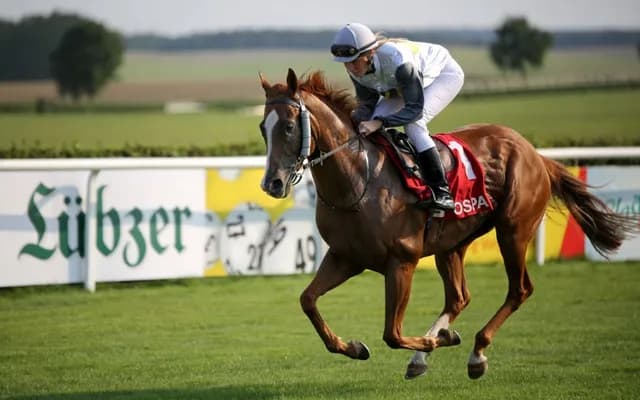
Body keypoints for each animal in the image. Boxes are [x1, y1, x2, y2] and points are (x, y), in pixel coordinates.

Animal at [257, 68, 638, 380]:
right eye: (263, 128)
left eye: (288, 126)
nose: (272, 184)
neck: (358, 180)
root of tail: (534, 154)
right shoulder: (345, 257)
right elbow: (308, 300)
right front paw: (353, 347)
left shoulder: (402, 261)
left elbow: (392, 334)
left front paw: (434, 342)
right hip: (452, 243)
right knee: (459, 298)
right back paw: (431, 350)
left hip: (514, 230)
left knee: (519, 289)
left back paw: (474, 353)